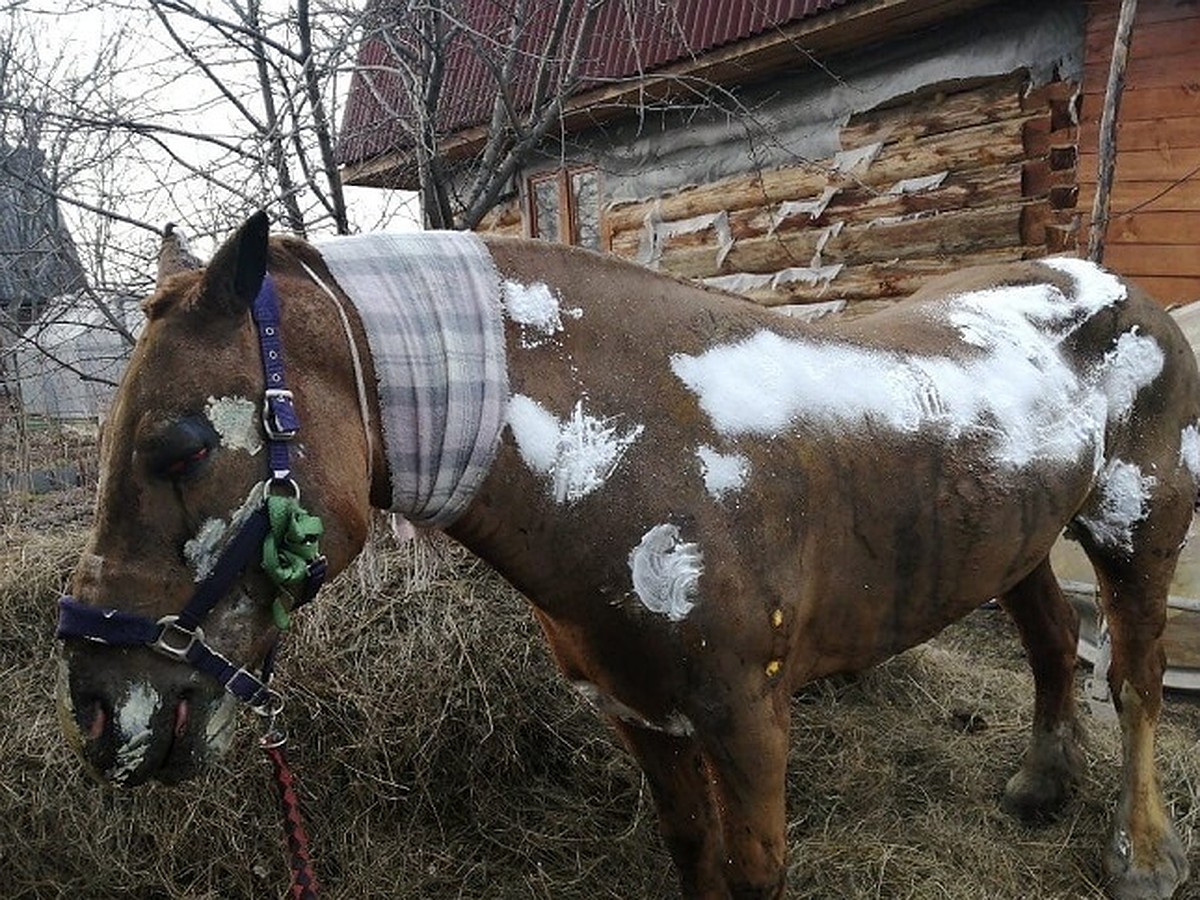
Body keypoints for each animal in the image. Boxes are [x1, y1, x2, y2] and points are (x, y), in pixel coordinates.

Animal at [58, 213, 1200, 900]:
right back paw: (1043, 782)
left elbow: (753, 869)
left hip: (1138, 529)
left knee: (1136, 681)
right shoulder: (638, 712)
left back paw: (1143, 851)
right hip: (1021, 539)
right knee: (1051, 648)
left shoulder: (748, 718)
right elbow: (690, 851)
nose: (100, 712)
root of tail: (1116, 288)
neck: (631, 446)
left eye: (180, 445)